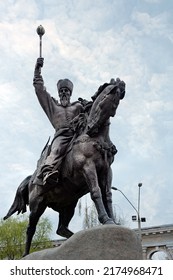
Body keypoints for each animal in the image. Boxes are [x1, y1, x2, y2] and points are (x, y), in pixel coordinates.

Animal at [3, 79, 125, 256]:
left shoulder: (107, 171)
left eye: (113, 101)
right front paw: (105, 219)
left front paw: (113, 221)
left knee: (61, 229)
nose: (91, 127)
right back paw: (26, 254)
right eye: (104, 97)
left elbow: (107, 195)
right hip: (37, 205)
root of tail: (31, 180)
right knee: (30, 228)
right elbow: (96, 192)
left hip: (69, 204)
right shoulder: (88, 166)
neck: (96, 138)